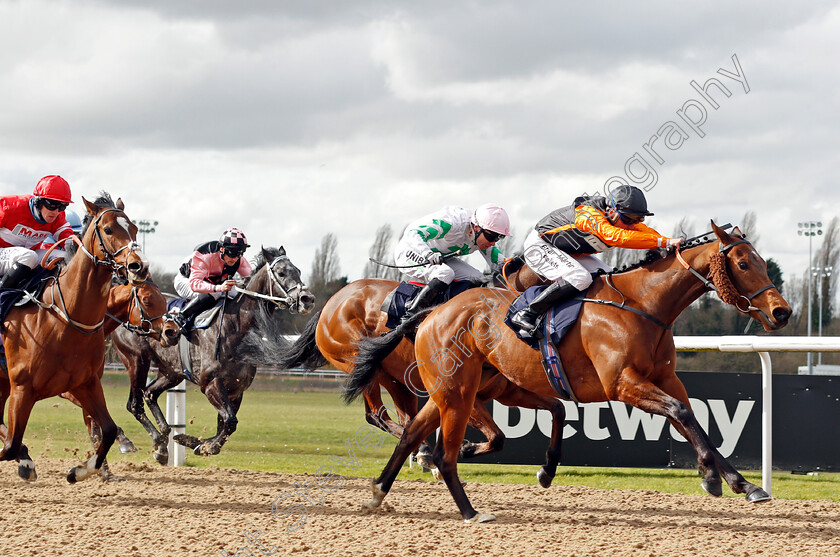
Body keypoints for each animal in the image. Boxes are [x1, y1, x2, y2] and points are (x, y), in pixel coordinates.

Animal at [0, 193, 148, 480]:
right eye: (108, 229)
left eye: (135, 229)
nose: (139, 266)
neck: (63, 318)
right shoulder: (23, 388)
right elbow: (11, 446)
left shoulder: (86, 383)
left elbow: (108, 430)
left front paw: (80, 471)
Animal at [111, 245, 316, 462]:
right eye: (281, 272)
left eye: (298, 271)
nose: (307, 299)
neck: (235, 326)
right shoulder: (211, 383)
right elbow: (230, 421)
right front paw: (204, 445)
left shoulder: (236, 389)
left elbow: (225, 425)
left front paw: (195, 442)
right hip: (137, 361)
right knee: (135, 404)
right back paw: (154, 442)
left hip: (171, 372)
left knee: (150, 394)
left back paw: (164, 439)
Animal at [350, 223, 796, 520]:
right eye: (742, 262)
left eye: (761, 261)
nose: (782, 312)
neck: (642, 305)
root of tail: (430, 313)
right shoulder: (623, 384)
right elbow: (682, 414)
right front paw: (714, 478)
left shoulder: (666, 380)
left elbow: (693, 420)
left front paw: (743, 483)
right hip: (458, 391)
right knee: (441, 451)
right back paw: (470, 509)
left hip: (462, 389)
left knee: (412, 434)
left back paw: (379, 491)